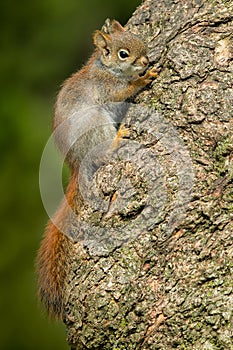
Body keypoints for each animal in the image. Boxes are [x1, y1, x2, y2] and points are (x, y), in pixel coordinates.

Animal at [36, 19, 157, 320]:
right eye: (123, 54)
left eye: (140, 40)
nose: (146, 61)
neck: (105, 68)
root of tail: (77, 163)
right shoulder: (108, 88)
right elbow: (125, 90)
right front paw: (143, 78)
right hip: (96, 125)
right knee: (104, 151)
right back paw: (118, 138)